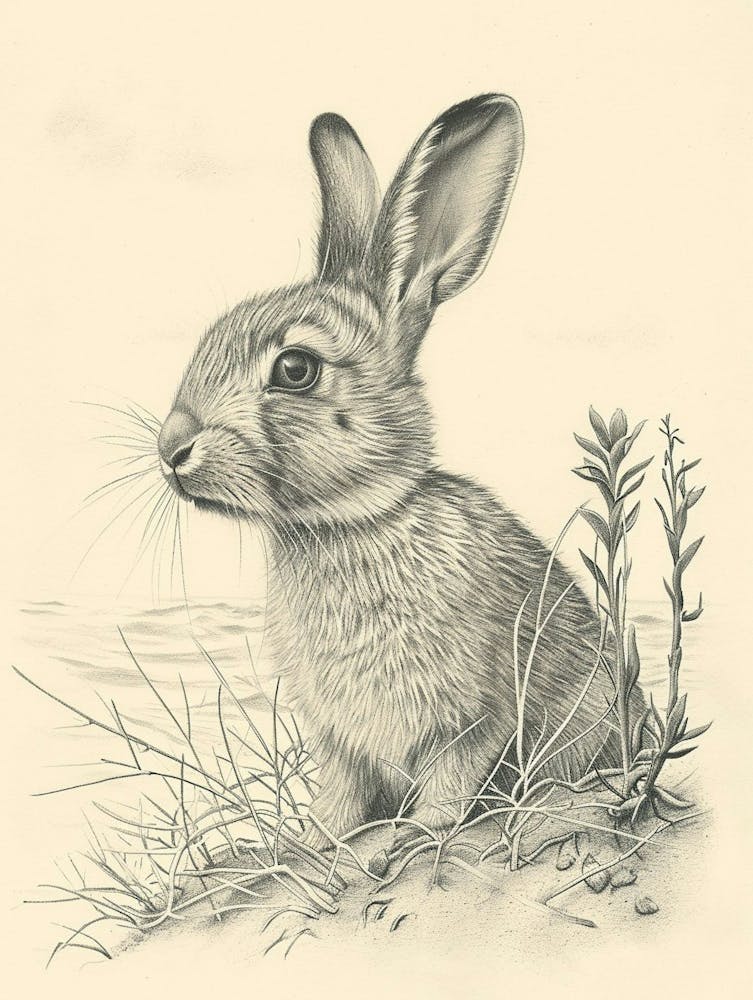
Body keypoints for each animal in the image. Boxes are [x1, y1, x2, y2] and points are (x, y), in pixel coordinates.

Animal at [157, 94, 643, 851]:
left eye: (295, 369)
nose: (170, 448)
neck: (350, 521)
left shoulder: (476, 715)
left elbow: (451, 780)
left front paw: (413, 839)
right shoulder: (340, 742)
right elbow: (342, 796)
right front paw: (310, 842)